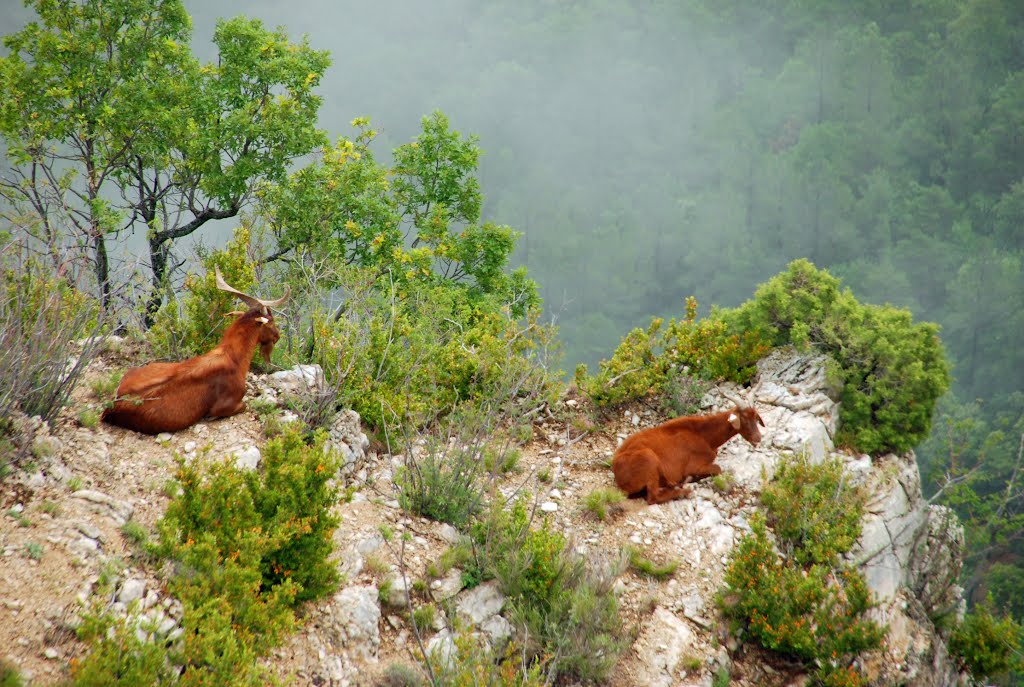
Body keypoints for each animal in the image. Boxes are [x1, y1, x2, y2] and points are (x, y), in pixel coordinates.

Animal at [100, 270, 288, 436]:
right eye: (271, 322)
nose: (277, 336)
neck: (233, 356)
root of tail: (112, 405)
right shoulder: (226, 404)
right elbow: (242, 407)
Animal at [610, 387, 765, 505]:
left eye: (756, 417)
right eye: (744, 419)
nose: (758, 438)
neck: (704, 436)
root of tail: (617, 472)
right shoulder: (694, 465)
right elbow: (717, 468)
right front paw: (690, 478)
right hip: (648, 459)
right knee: (653, 497)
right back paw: (684, 491)